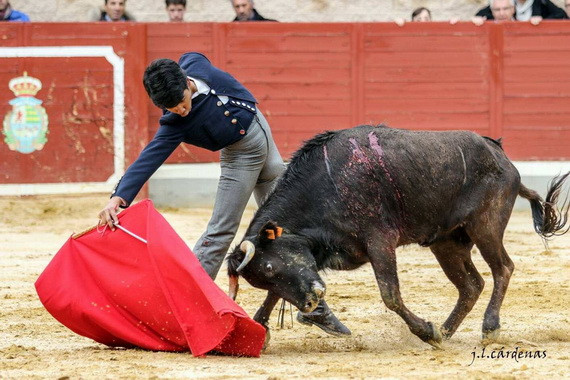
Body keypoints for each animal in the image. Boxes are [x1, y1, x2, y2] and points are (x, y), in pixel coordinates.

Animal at [225, 124, 564, 348]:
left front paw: (424, 330)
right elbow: (277, 294)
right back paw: (446, 331)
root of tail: (501, 156)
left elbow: (390, 294)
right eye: (264, 277)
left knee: (502, 269)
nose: (310, 303)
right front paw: (260, 329)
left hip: (486, 226)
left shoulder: (380, 241)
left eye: (270, 268)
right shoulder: (318, 253)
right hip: (446, 243)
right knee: (471, 285)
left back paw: (488, 327)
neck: (329, 183)